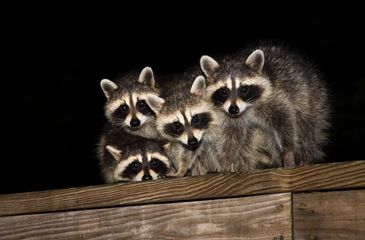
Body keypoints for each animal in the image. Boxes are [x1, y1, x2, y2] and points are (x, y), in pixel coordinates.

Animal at [196, 43, 330, 167]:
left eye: (244, 89)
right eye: (224, 91)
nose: (233, 109)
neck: (247, 108)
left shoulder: (274, 97)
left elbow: (285, 121)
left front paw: (288, 150)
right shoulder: (231, 116)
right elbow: (232, 134)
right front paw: (227, 158)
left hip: (312, 98)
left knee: (307, 128)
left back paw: (305, 157)